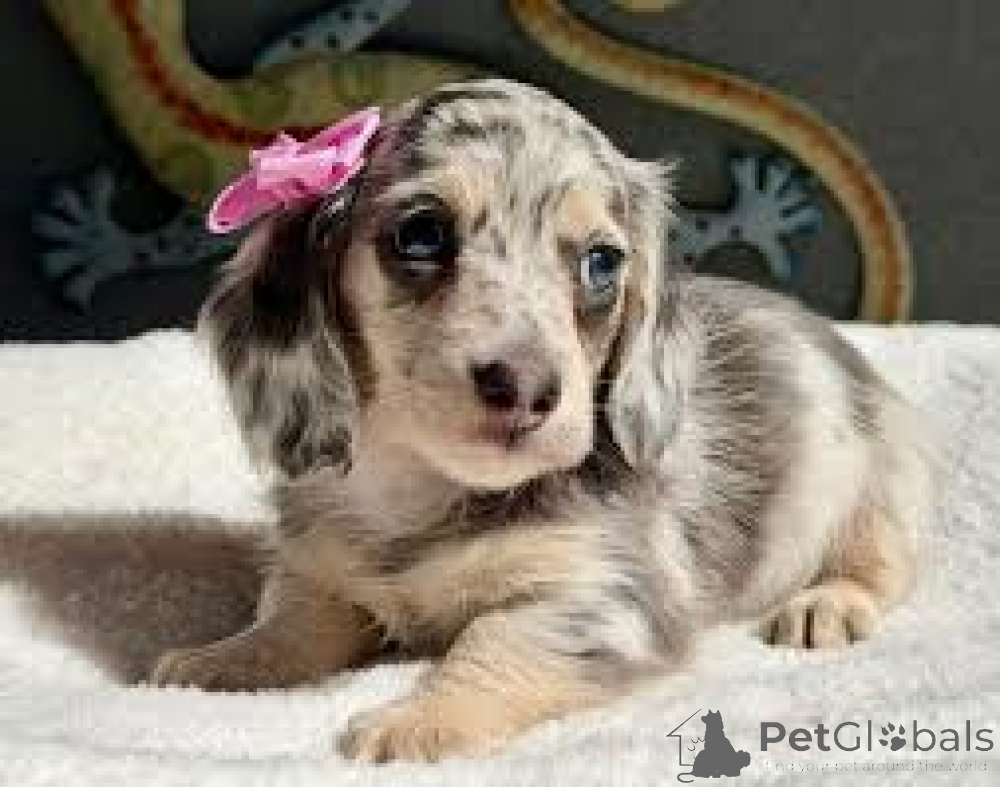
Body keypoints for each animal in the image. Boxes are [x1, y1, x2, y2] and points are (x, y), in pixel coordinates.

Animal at [152, 78, 931, 762]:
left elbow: (492, 643)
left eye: (602, 262)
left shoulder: (603, 597)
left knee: (880, 563)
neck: (421, 495)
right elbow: (291, 621)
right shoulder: (320, 568)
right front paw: (224, 662)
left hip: (874, 487)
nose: (526, 388)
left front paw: (420, 721)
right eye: (423, 233)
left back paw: (826, 604)